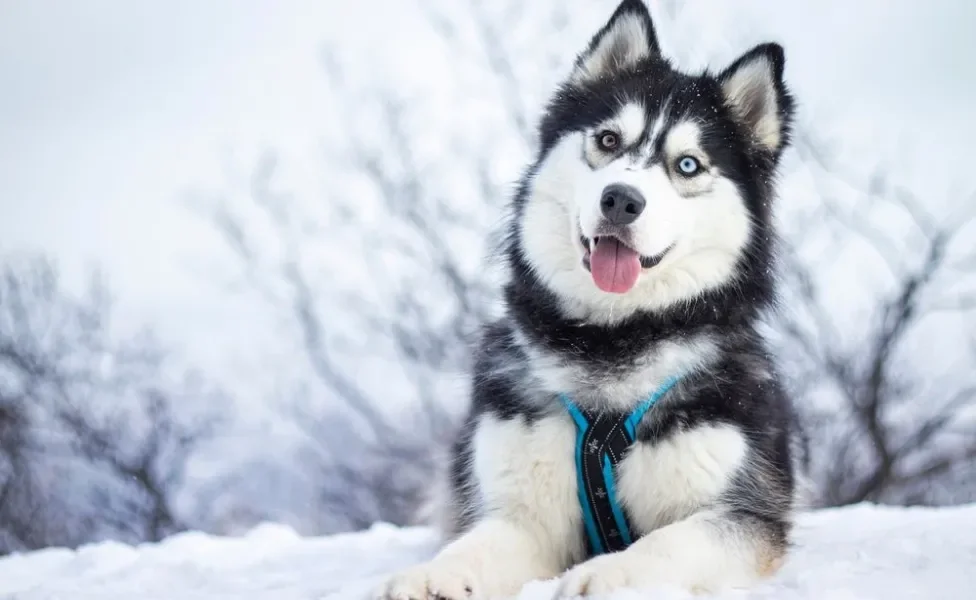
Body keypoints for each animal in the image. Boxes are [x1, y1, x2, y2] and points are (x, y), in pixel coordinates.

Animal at [378, 0, 804, 596]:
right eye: (607, 141)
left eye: (688, 164)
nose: (621, 199)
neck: (613, 339)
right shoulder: (523, 515)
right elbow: (474, 547)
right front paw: (432, 576)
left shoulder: (740, 514)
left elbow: (667, 543)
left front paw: (611, 573)